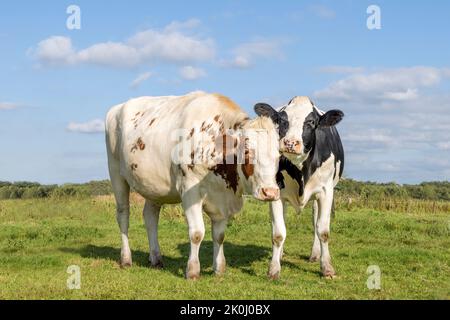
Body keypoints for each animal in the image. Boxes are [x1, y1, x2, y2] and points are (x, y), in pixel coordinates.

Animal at [106, 91, 282, 278]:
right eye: (248, 152)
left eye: (278, 155)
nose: (270, 192)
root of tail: (117, 108)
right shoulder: (190, 190)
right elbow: (197, 233)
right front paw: (192, 270)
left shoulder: (222, 197)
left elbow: (219, 235)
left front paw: (219, 268)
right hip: (116, 174)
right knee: (123, 216)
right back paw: (126, 258)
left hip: (153, 187)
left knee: (150, 217)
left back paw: (156, 258)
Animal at [253, 96, 344, 278]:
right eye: (282, 120)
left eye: (311, 122)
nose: (290, 143)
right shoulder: (276, 192)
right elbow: (278, 233)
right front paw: (274, 269)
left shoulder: (326, 191)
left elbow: (323, 231)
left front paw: (327, 268)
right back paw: (280, 255)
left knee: (315, 220)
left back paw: (315, 254)